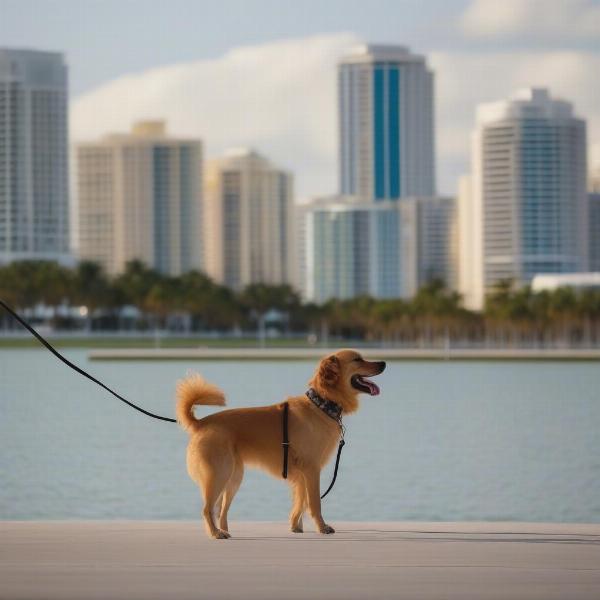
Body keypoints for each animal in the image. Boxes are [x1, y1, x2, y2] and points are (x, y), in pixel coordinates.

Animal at [176, 346, 386, 540]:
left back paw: (224, 531)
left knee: (221, 509)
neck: (321, 404)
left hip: (233, 477)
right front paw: (322, 527)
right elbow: (314, 503)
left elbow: (300, 502)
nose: (383, 363)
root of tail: (201, 423)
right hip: (219, 474)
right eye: (357, 359)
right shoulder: (311, 469)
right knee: (207, 509)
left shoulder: (302, 475)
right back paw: (216, 533)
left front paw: (295, 527)